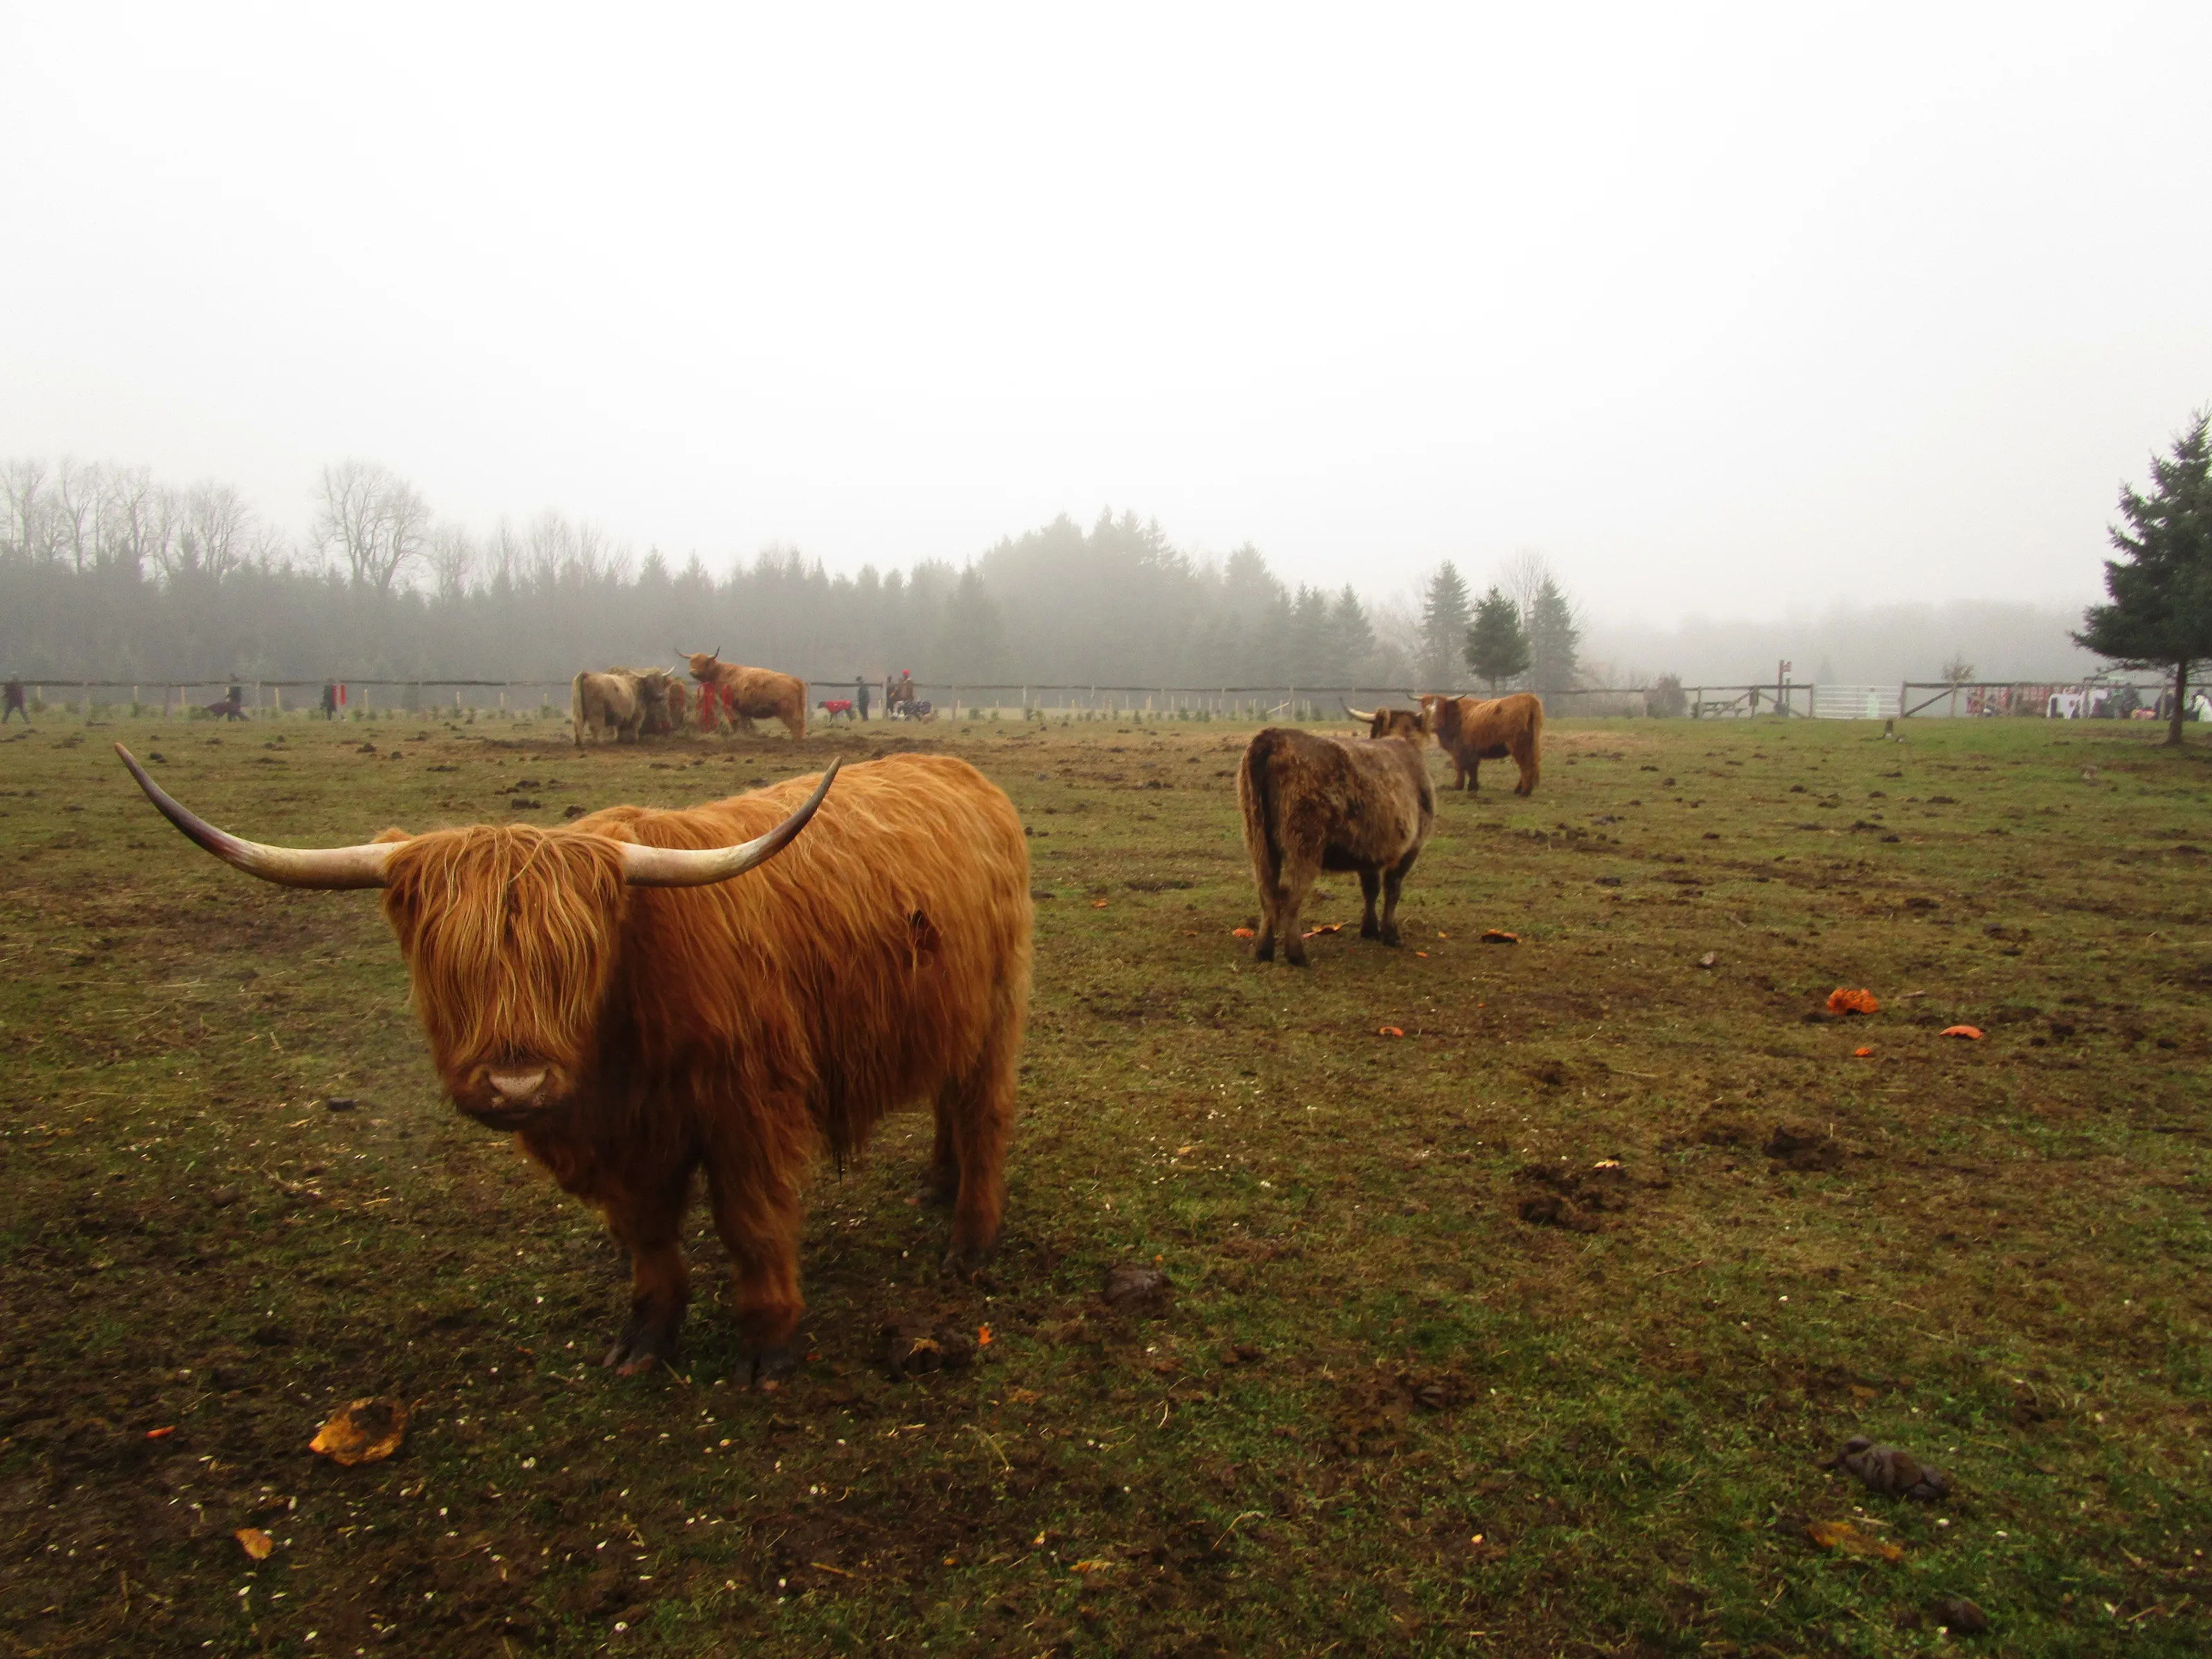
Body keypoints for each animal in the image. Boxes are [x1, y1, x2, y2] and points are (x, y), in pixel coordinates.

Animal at [114, 744, 1032, 1385]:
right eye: (448, 964)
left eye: (576, 958)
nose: (515, 1082)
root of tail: (961, 773)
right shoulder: (622, 1146)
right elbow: (648, 1241)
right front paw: (644, 1341)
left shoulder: (751, 1112)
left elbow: (754, 1226)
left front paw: (767, 1347)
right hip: (946, 1015)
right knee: (948, 1102)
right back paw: (935, 1184)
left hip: (995, 1010)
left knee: (982, 1112)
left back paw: (968, 1241)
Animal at [686, 651, 807, 741]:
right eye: (691, 662)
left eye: (705, 663)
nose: (693, 671)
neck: (720, 673)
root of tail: (794, 680)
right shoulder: (743, 709)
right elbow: (745, 723)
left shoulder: (731, 706)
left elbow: (735, 721)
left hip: (788, 711)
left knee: (796, 725)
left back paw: (796, 740)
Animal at [1237, 712, 1435, 966]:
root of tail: (1276, 736)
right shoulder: (1411, 847)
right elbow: (1392, 888)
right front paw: (1391, 934)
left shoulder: (1368, 851)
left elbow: (1371, 888)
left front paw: (1370, 929)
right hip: (1304, 844)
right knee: (1290, 894)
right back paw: (1296, 955)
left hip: (1259, 841)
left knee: (1267, 890)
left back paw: (1264, 951)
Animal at [1418, 692, 1544, 796]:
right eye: (1426, 709)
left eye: (1441, 708)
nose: (1432, 725)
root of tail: (1529, 698)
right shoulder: (1471, 752)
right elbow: (1472, 769)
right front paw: (1473, 787)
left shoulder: (1459, 751)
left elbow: (1462, 768)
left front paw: (1459, 786)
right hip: (1530, 745)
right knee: (1531, 764)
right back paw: (1520, 790)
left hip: (1518, 745)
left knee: (1526, 766)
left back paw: (1524, 792)